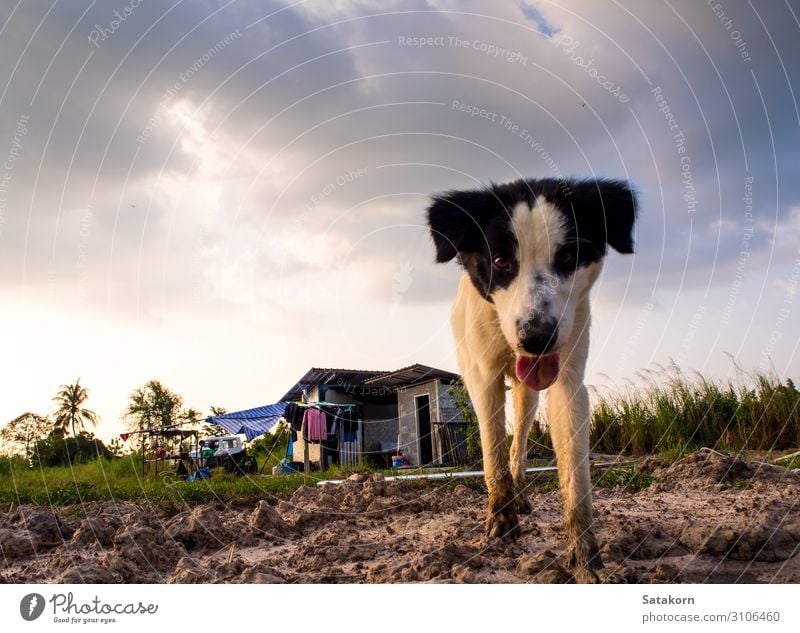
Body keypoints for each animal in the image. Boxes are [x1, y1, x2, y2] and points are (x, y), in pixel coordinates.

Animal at [424, 178, 636, 584]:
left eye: (567, 257)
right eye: (500, 261)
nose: (537, 338)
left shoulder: (568, 380)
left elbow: (576, 476)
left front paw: (586, 557)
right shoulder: (484, 379)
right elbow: (492, 453)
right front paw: (500, 519)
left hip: (529, 396)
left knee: (519, 441)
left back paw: (520, 493)